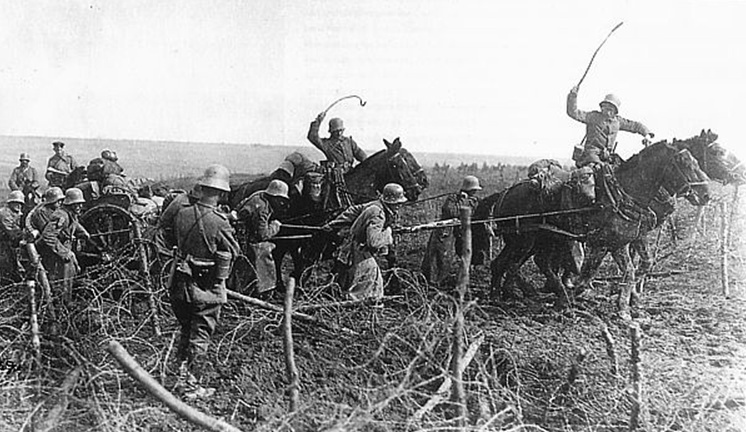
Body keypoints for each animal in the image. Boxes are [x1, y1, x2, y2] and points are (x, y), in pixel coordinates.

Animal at [227, 138, 428, 294]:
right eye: (397, 164)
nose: (417, 189)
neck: (349, 193)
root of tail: (241, 188)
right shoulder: (320, 237)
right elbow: (311, 263)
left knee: (277, 256)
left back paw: (280, 286)